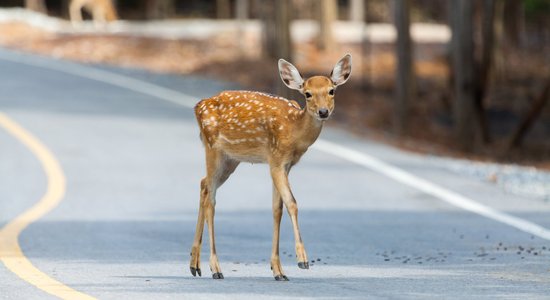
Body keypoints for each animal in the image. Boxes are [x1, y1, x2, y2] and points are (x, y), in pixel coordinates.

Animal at [190, 54, 354, 282]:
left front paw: (278, 270)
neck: (294, 132)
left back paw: (194, 264)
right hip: (213, 147)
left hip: (230, 159)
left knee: (203, 184)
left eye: (332, 90)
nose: (323, 112)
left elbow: (277, 208)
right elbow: (292, 203)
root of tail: (197, 106)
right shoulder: (276, 160)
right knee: (211, 200)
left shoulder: (285, 164)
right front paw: (302, 260)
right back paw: (215, 268)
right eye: (308, 94)